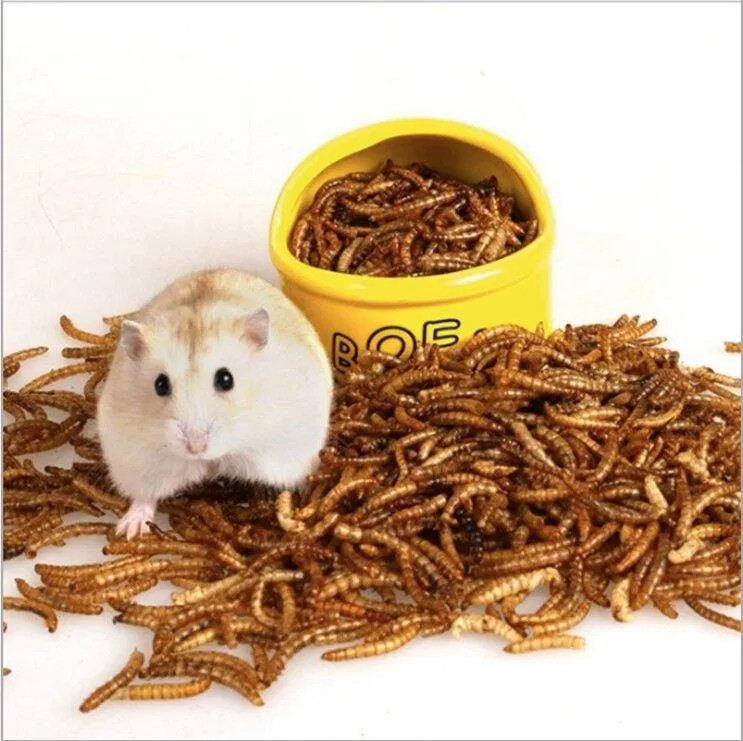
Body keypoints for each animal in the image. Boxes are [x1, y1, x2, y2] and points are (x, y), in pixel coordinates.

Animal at [97, 268, 333, 539]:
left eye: (225, 379)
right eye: (160, 384)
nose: (196, 448)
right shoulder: (133, 453)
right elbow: (146, 494)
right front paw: (127, 532)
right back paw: (130, 530)